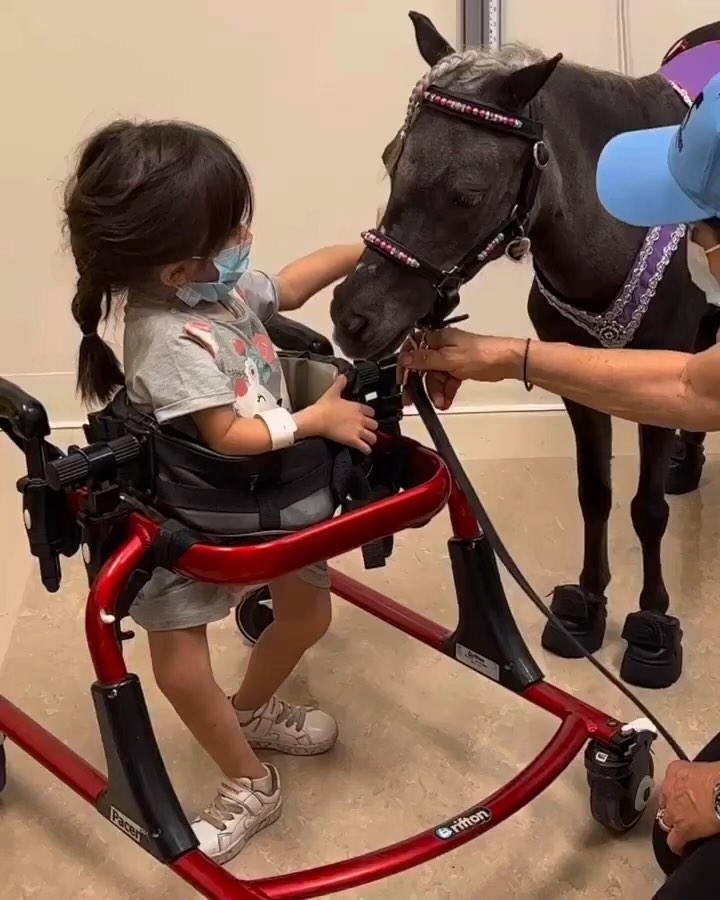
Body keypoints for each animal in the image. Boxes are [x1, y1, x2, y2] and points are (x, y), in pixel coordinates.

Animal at [331, 12, 720, 690]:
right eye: (390, 159)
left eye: (466, 193)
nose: (352, 316)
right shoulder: (579, 380)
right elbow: (595, 493)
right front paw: (588, 605)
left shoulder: (653, 378)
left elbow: (645, 510)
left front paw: (652, 627)